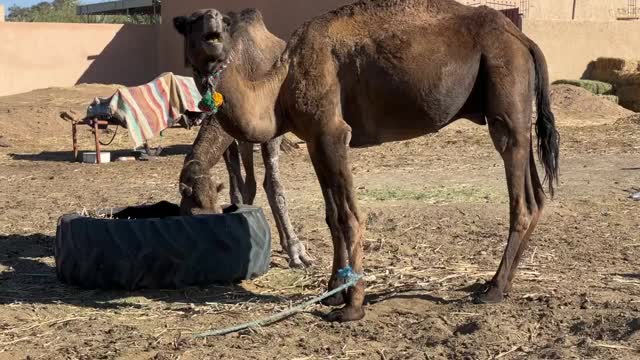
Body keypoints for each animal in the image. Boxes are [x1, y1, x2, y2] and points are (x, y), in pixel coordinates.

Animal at [178, 9, 312, 268]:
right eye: (187, 213)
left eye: (214, 213)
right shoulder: (229, 134)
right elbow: (237, 186)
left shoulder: (270, 132)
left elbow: (275, 187)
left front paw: (297, 251)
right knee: (250, 181)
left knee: (265, 182)